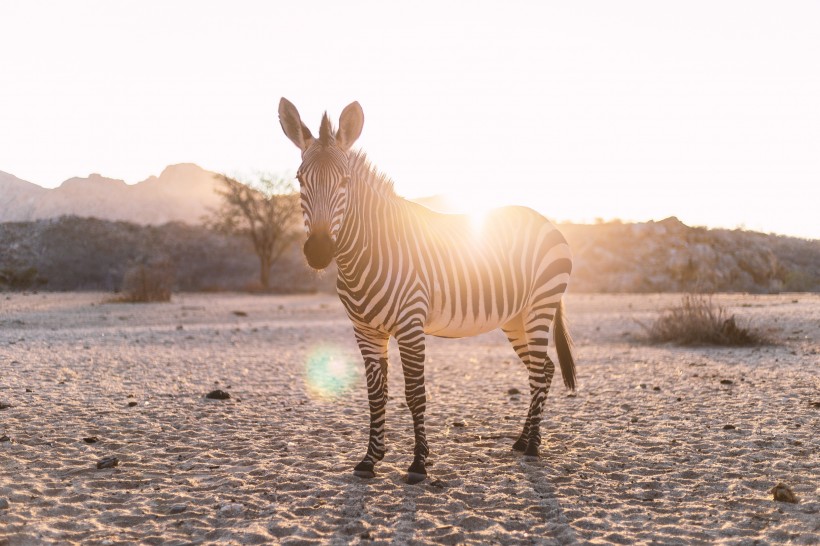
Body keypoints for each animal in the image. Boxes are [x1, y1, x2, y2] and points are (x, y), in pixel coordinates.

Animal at [278, 98, 572, 480]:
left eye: (344, 181)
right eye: (300, 179)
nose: (318, 251)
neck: (365, 254)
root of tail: (546, 220)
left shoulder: (410, 325)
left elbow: (415, 394)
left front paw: (418, 463)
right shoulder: (365, 331)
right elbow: (376, 395)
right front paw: (370, 459)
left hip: (540, 305)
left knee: (539, 370)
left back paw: (534, 446)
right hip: (515, 317)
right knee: (544, 369)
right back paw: (523, 441)